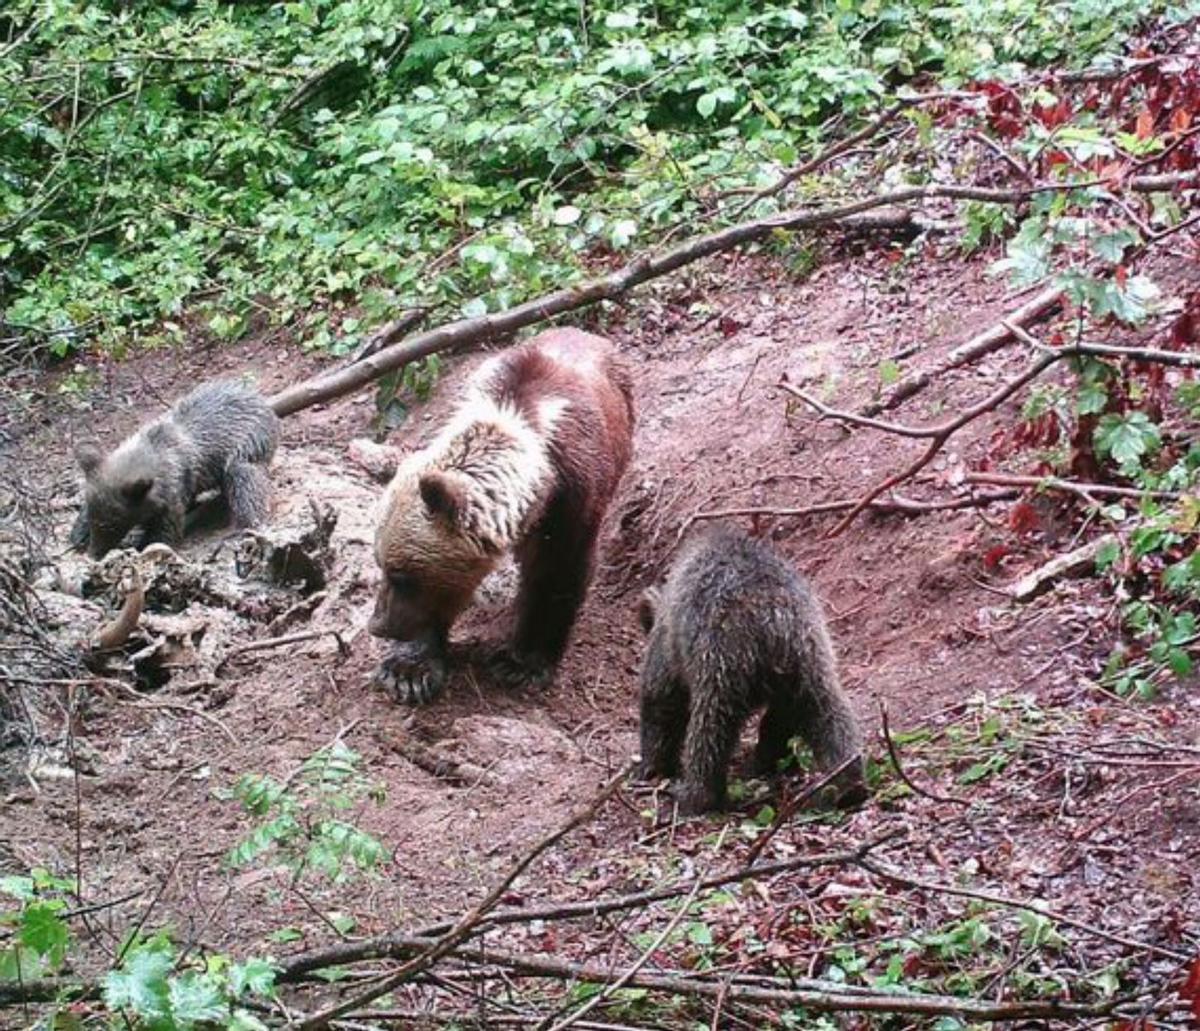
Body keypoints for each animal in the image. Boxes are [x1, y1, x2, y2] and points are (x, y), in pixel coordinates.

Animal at [369, 326, 638, 705]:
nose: (378, 625)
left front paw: (521, 664)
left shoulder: (571, 497)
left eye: (403, 576)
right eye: (381, 564)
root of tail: (586, 333)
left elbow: (557, 571)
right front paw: (408, 670)